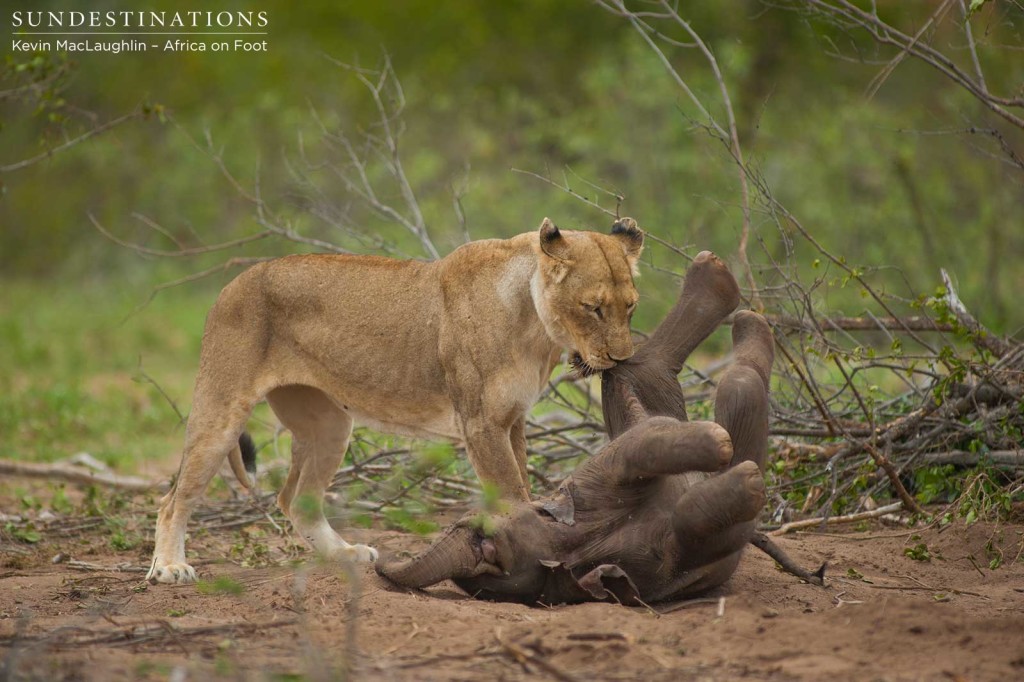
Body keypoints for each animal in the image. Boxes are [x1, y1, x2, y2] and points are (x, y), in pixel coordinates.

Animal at [380, 251, 770, 602]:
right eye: (490, 559)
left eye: (480, 538)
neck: (572, 543)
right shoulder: (646, 566)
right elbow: (692, 521)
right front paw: (743, 476)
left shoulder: (587, 485)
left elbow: (635, 448)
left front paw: (720, 448)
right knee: (720, 377)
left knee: (638, 368)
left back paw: (722, 285)